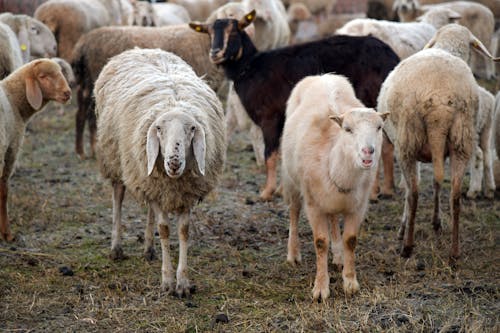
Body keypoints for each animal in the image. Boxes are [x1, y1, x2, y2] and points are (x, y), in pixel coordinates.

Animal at [0, 58, 71, 241]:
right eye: (43, 76)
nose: (67, 93)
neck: (14, 101)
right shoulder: (11, 148)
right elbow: (4, 190)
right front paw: (7, 234)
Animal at [94, 47, 227, 296]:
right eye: (158, 128)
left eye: (191, 128)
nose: (174, 163)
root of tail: (143, 49)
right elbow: (164, 229)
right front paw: (167, 281)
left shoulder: (185, 193)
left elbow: (183, 231)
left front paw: (182, 283)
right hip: (118, 160)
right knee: (118, 197)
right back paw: (116, 247)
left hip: (149, 178)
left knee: (149, 210)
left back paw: (149, 248)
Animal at [189, 11, 400, 200]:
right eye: (208, 33)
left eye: (233, 32)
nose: (215, 53)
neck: (251, 68)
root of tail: (391, 58)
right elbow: (284, 152)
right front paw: (282, 189)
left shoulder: (270, 117)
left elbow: (270, 154)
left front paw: (267, 192)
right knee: (387, 144)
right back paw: (388, 190)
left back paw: (374, 192)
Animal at [282, 72, 386, 300]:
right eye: (347, 129)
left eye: (379, 127)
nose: (368, 152)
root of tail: (323, 76)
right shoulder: (313, 205)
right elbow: (321, 242)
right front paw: (321, 288)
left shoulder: (358, 206)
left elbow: (350, 240)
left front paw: (350, 282)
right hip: (292, 180)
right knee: (294, 213)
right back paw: (293, 254)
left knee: (332, 219)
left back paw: (338, 256)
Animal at [376, 24, 498, 262]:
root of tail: (440, 103)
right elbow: (436, 182)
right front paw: (436, 221)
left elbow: (413, 189)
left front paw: (404, 228)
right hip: (461, 139)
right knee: (455, 195)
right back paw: (455, 252)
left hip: (407, 140)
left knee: (413, 193)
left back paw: (407, 246)